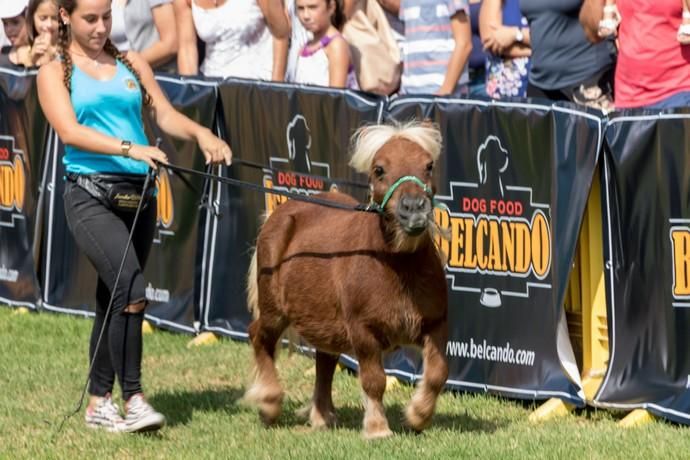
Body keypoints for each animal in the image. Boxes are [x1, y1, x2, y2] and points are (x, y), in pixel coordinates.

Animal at [245, 120, 448, 440]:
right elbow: (374, 380)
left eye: (428, 165)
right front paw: (378, 428)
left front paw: (417, 415)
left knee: (324, 360)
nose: (414, 209)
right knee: (259, 337)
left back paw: (321, 416)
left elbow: (438, 373)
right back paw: (269, 403)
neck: (398, 267)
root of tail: (280, 213)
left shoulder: (435, 325)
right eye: (379, 169)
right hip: (274, 310)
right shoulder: (363, 330)